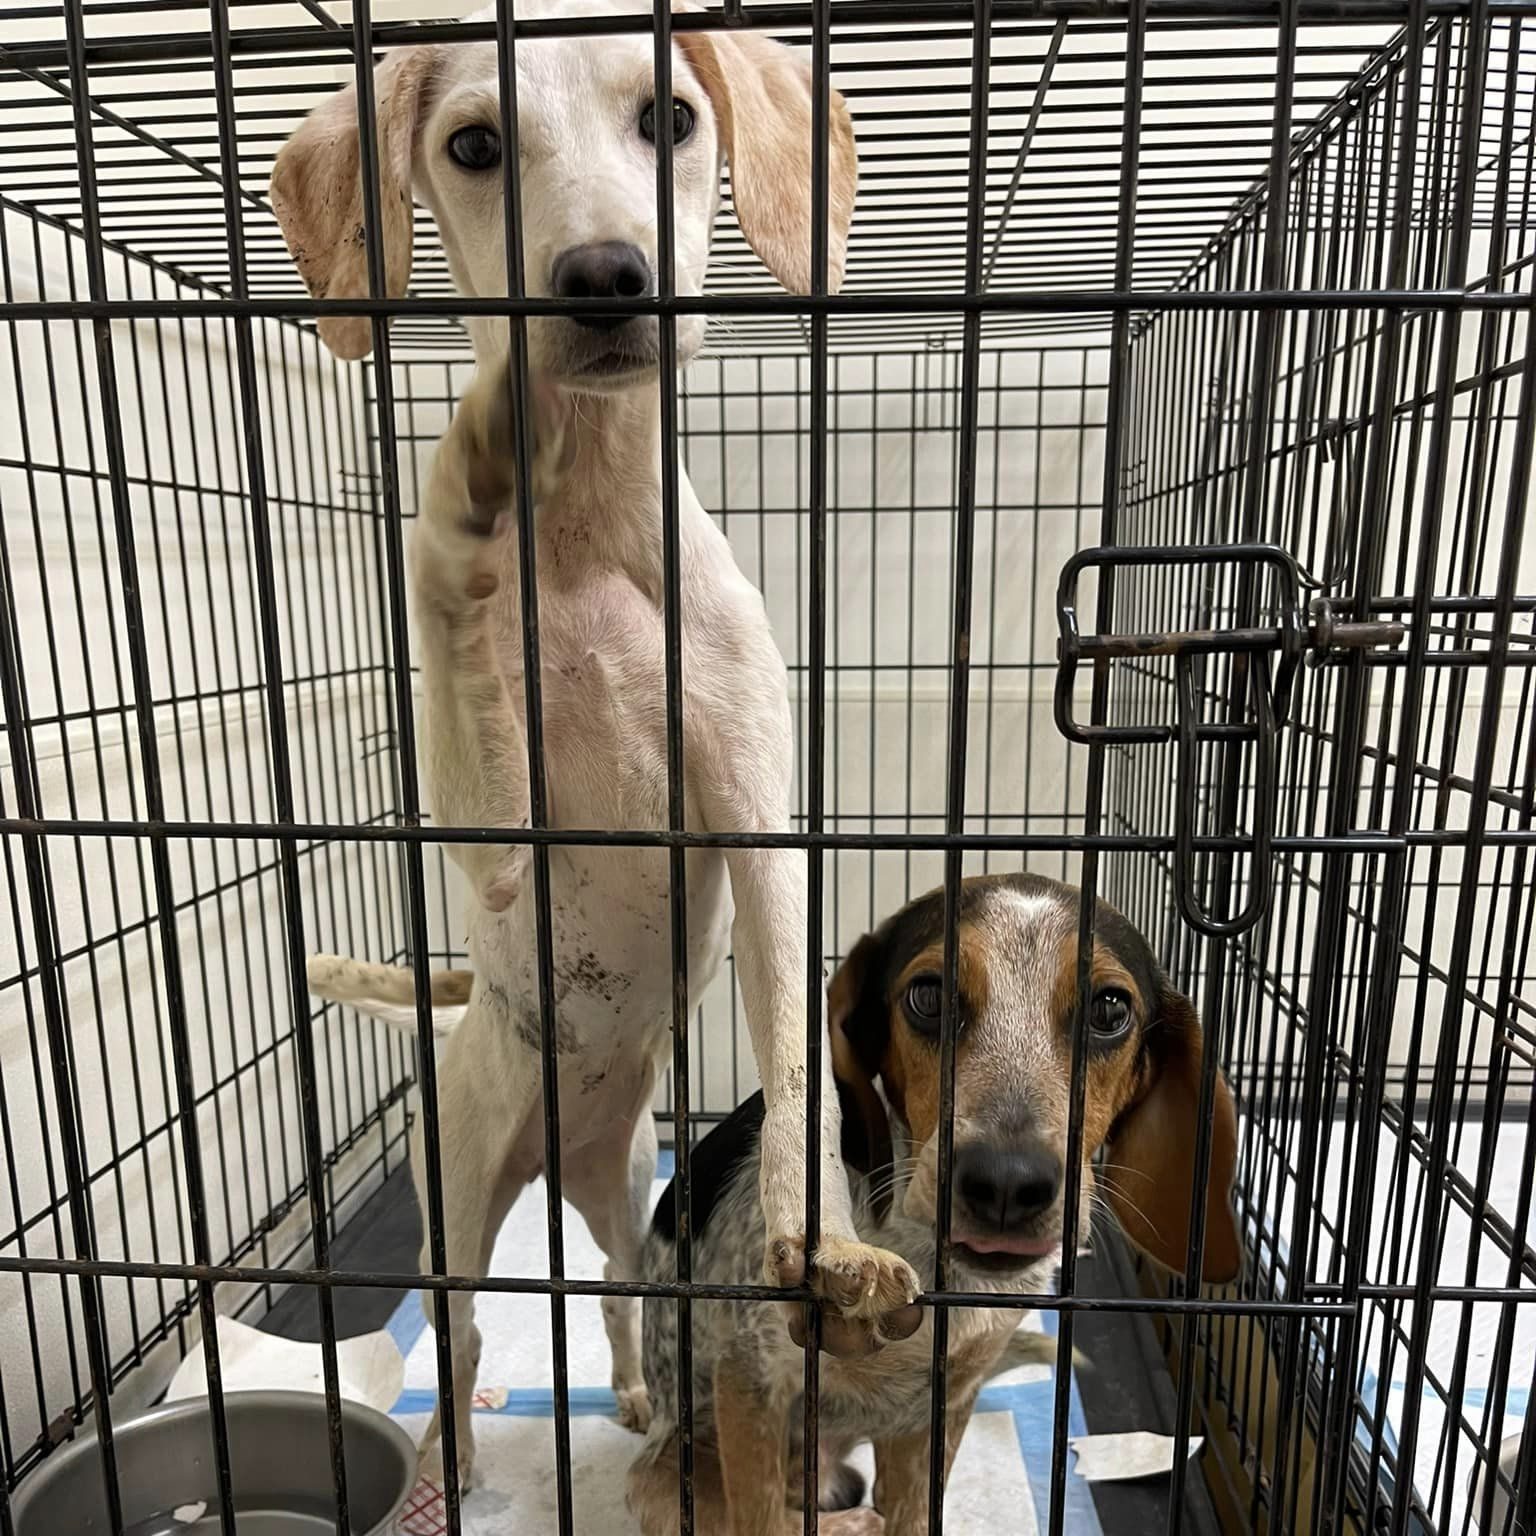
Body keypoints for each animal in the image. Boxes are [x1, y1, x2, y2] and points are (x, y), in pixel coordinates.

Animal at [273, 0, 921, 1486]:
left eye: (670, 117)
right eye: (472, 145)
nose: (605, 277)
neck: (580, 540)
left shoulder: (757, 825)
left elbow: (795, 1060)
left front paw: (826, 1244)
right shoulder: (492, 833)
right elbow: (454, 612)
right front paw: (464, 489)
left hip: (624, 1195)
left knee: (621, 1297)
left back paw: (628, 1393)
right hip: (457, 1204)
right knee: (456, 1339)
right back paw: (451, 1459)